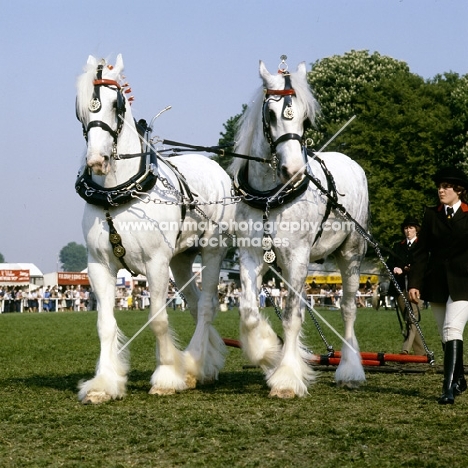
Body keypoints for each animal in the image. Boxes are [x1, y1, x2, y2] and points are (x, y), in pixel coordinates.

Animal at [75, 54, 236, 404]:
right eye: (80, 107)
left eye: (117, 103)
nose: (97, 160)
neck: (116, 193)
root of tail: (213, 165)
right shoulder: (98, 265)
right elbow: (105, 323)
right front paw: (104, 383)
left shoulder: (156, 262)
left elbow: (158, 319)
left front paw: (166, 377)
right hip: (182, 259)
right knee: (194, 303)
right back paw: (200, 363)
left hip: (212, 250)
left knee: (207, 305)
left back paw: (195, 365)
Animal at [230, 59, 370, 398]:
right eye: (270, 114)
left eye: (305, 119)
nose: (293, 171)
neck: (271, 198)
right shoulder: (251, 255)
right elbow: (249, 311)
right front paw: (268, 352)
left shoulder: (297, 256)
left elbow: (292, 315)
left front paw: (287, 378)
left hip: (351, 253)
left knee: (348, 308)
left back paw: (350, 369)